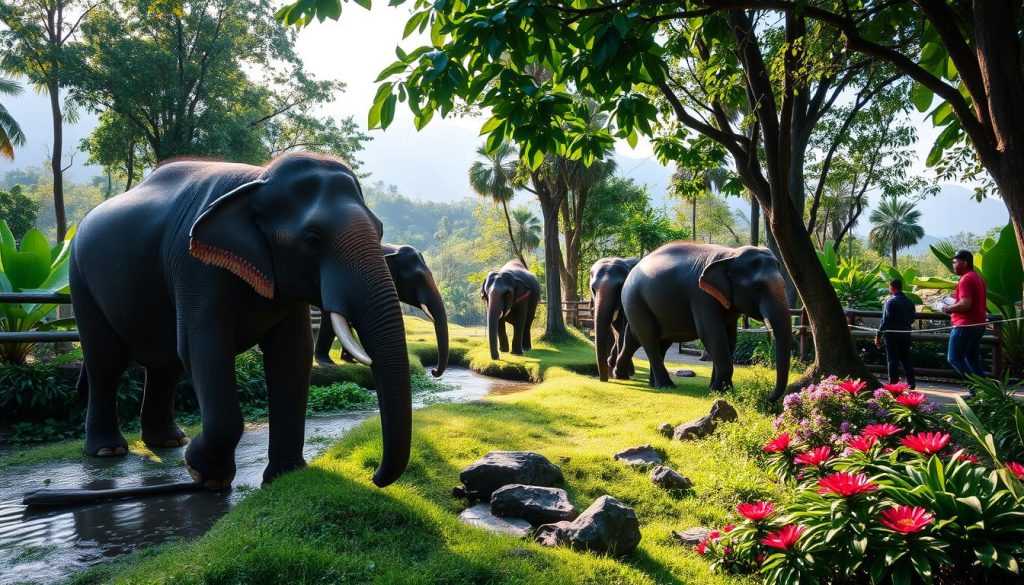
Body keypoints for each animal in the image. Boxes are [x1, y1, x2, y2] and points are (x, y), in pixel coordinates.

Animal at [69, 152, 411, 489]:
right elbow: (203, 346)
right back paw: (108, 450)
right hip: (80, 279)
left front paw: (284, 477)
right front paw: (205, 474)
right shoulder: (194, 266)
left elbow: (292, 353)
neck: (259, 179)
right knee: (106, 360)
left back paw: (169, 441)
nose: (375, 476)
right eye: (312, 239)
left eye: (380, 231)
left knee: (165, 364)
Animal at [617, 242, 791, 401]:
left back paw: (638, 380)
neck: (730, 254)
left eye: (784, 285)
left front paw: (721, 389)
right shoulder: (701, 295)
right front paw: (719, 391)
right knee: (648, 338)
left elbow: (730, 337)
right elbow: (711, 334)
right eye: (758, 287)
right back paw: (663, 385)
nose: (767, 398)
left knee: (645, 339)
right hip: (635, 300)